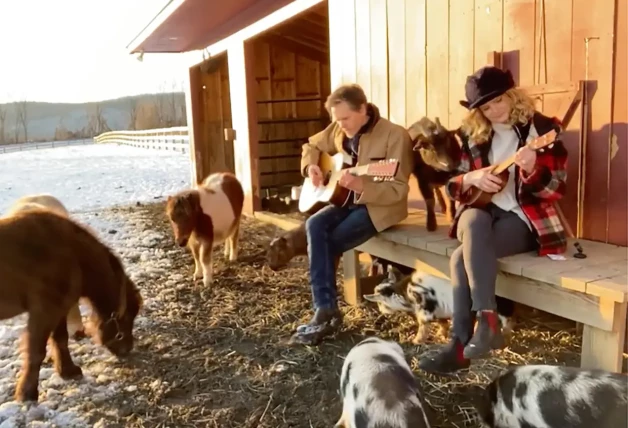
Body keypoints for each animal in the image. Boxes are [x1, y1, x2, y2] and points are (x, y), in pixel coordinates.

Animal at [0, 209, 144, 402]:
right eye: (127, 316)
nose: (127, 349)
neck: (71, 252)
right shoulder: (44, 311)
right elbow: (36, 351)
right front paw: (27, 394)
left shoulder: (59, 310)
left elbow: (61, 339)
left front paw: (68, 371)